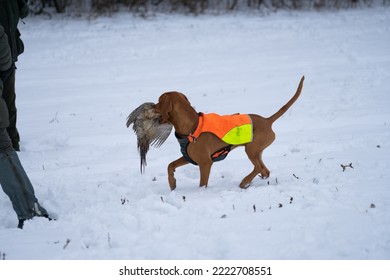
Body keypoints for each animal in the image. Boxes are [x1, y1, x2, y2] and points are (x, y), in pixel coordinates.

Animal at [153, 76, 304, 190]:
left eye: (159, 101)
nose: (151, 105)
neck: (192, 127)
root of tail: (267, 120)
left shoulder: (205, 163)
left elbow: (202, 184)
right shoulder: (189, 157)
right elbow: (170, 165)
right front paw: (172, 183)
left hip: (251, 150)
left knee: (258, 168)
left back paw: (244, 181)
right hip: (257, 151)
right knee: (264, 170)